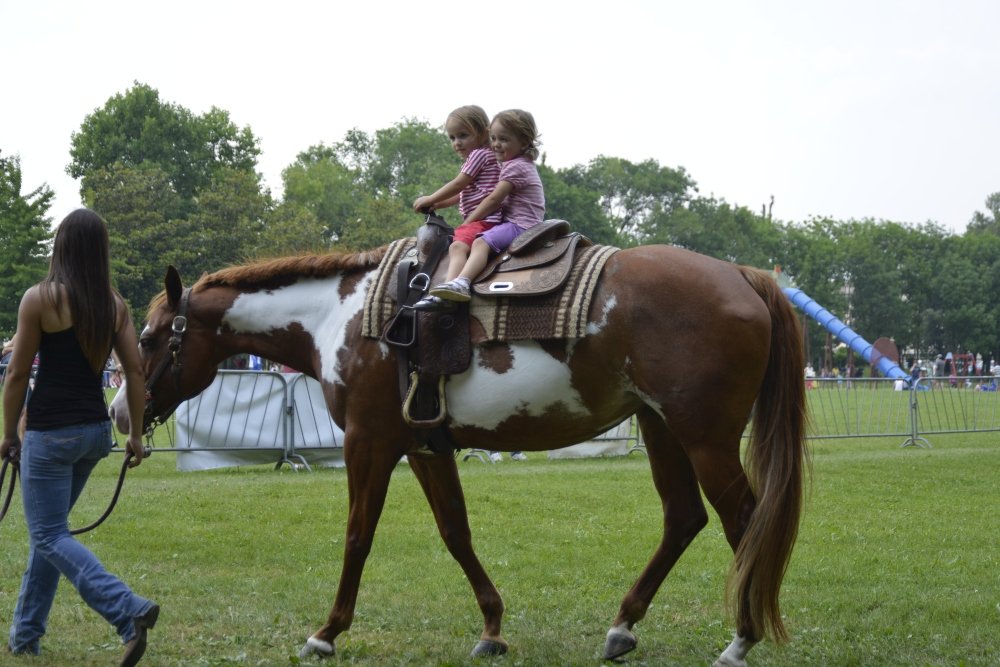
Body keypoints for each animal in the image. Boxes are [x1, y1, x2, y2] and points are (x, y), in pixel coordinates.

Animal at [111, 237, 806, 666]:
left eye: (147, 337)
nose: (120, 413)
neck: (343, 317)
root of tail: (743, 276)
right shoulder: (423, 445)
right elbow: (455, 531)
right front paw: (492, 628)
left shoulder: (369, 443)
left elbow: (358, 536)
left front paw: (326, 633)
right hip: (662, 428)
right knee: (684, 517)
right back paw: (622, 626)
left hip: (705, 436)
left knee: (745, 522)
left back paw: (740, 640)